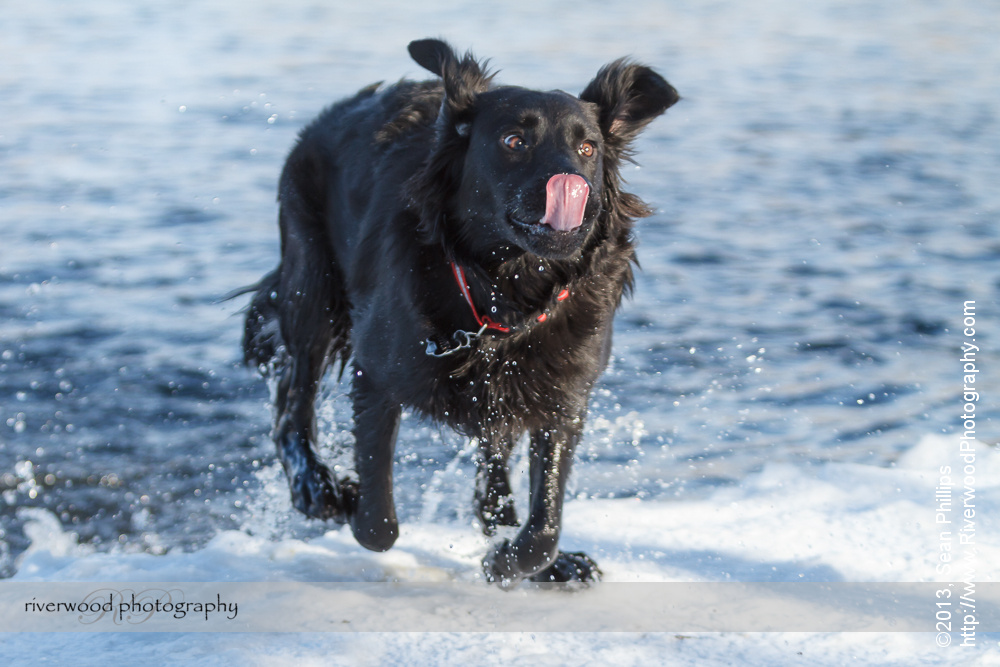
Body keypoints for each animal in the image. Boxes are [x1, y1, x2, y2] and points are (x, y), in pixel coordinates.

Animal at [243, 39, 680, 588]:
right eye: (514, 141)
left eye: (588, 149)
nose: (572, 183)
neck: (504, 291)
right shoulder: (377, 375)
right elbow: (378, 524)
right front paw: (351, 502)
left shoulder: (563, 395)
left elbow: (543, 528)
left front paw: (508, 560)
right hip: (312, 287)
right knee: (292, 402)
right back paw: (315, 489)